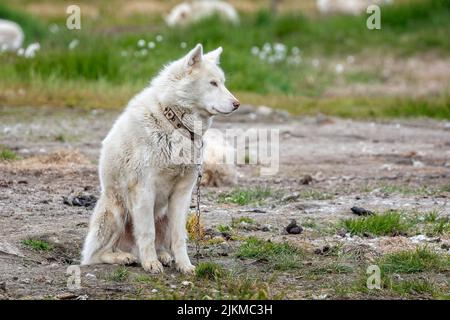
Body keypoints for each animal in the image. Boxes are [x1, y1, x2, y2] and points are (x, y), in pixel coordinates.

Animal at [82, 43, 241, 272]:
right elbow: (147, 232)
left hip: (164, 215)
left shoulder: (182, 193)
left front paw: (185, 266)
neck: (173, 123)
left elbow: (179, 237)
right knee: (96, 254)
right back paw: (125, 257)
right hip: (117, 212)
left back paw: (163, 256)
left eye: (223, 83)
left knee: (161, 243)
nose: (237, 104)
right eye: (213, 83)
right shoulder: (144, 189)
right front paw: (150, 264)